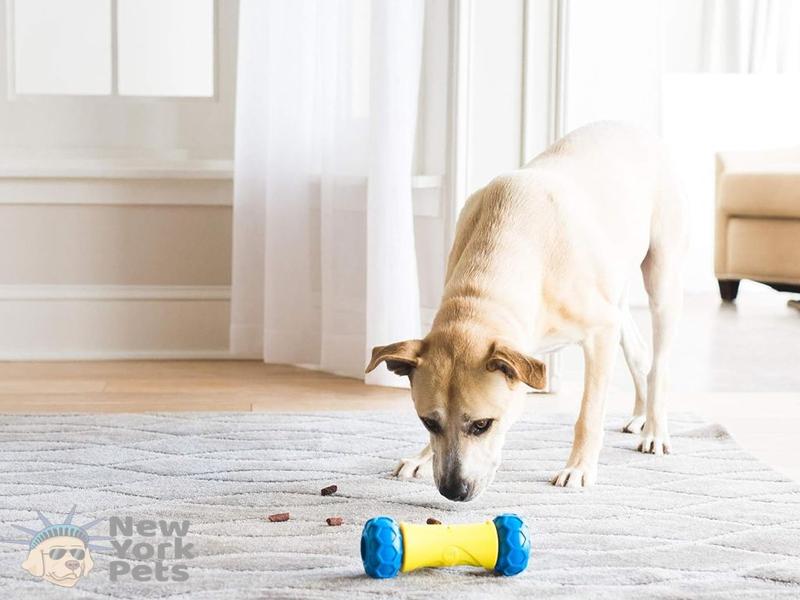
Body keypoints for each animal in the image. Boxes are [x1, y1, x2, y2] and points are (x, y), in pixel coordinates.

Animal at [366, 122, 684, 502]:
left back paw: (654, 429)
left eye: (482, 425)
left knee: (659, 361)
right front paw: (422, 457)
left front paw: (579, 468)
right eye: (429, 422)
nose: (453, 490)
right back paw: (639, 415)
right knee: (638, 351)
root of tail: (630, 127)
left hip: (661, 277)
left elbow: (589, 413)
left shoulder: (601, 331)